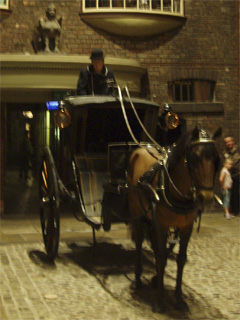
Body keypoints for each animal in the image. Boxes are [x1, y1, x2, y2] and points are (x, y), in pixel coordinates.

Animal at [127, 127, 221, 312]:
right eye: (194, 157)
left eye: (215, 157)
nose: (206, 197)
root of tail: (140, 148)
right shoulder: (162, 225)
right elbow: (162, 257)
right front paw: (159, 301)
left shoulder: (186, 227)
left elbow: (180, 259)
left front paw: (178, 298)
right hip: (137, 213)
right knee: (140, 243)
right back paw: (137, 279)